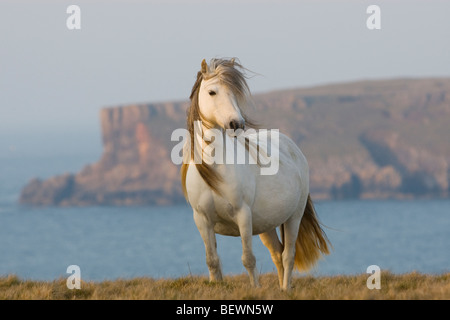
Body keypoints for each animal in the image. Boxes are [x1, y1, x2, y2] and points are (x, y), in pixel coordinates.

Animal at [180, 57, 330, 290]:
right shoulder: (202, 220)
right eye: (212, 92)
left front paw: (255, 289)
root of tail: (294, 148)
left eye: (234, 93)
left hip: (293, 217)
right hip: (266, 225)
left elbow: (248, 259)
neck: (215, 173)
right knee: (277, 254)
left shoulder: (243, 215)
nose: (237, 124)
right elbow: (212, 261)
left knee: (288, 255)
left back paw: (286, 288)